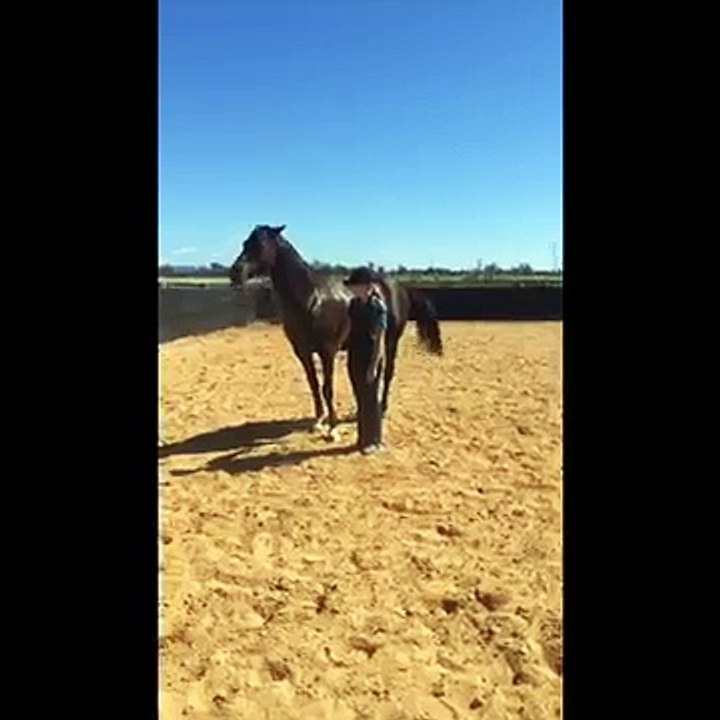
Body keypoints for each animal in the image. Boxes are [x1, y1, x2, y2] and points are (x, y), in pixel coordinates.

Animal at [229, 225, 443, 437]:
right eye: (245, 243)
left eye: (261, 245)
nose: (235, 273)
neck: (312, 300)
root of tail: (400, 288)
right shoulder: (303, 352)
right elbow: (314, 386)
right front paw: (318, 421)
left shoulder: (328, 351)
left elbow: (327, 388)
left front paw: (332, 428)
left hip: (392, 339)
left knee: (388, 371)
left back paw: (382, 409)